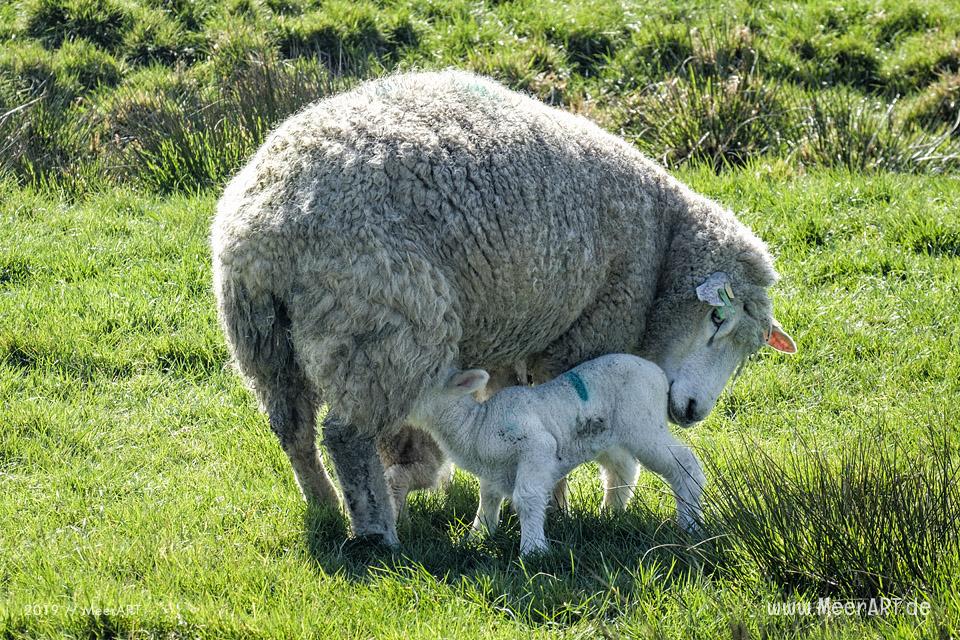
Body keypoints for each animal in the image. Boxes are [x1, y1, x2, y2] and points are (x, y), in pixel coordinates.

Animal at [406, 354, 706, 555]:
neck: (478, 424)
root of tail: (659, 374)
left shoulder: (537, 448)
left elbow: (527, 498)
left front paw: (533, 550)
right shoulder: (493, 470)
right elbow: (488, 500)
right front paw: (476, 537)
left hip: (643, 423)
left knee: (685, 463)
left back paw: (690, 524)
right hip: (608, 437)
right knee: (623, 468)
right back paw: (610, 513)